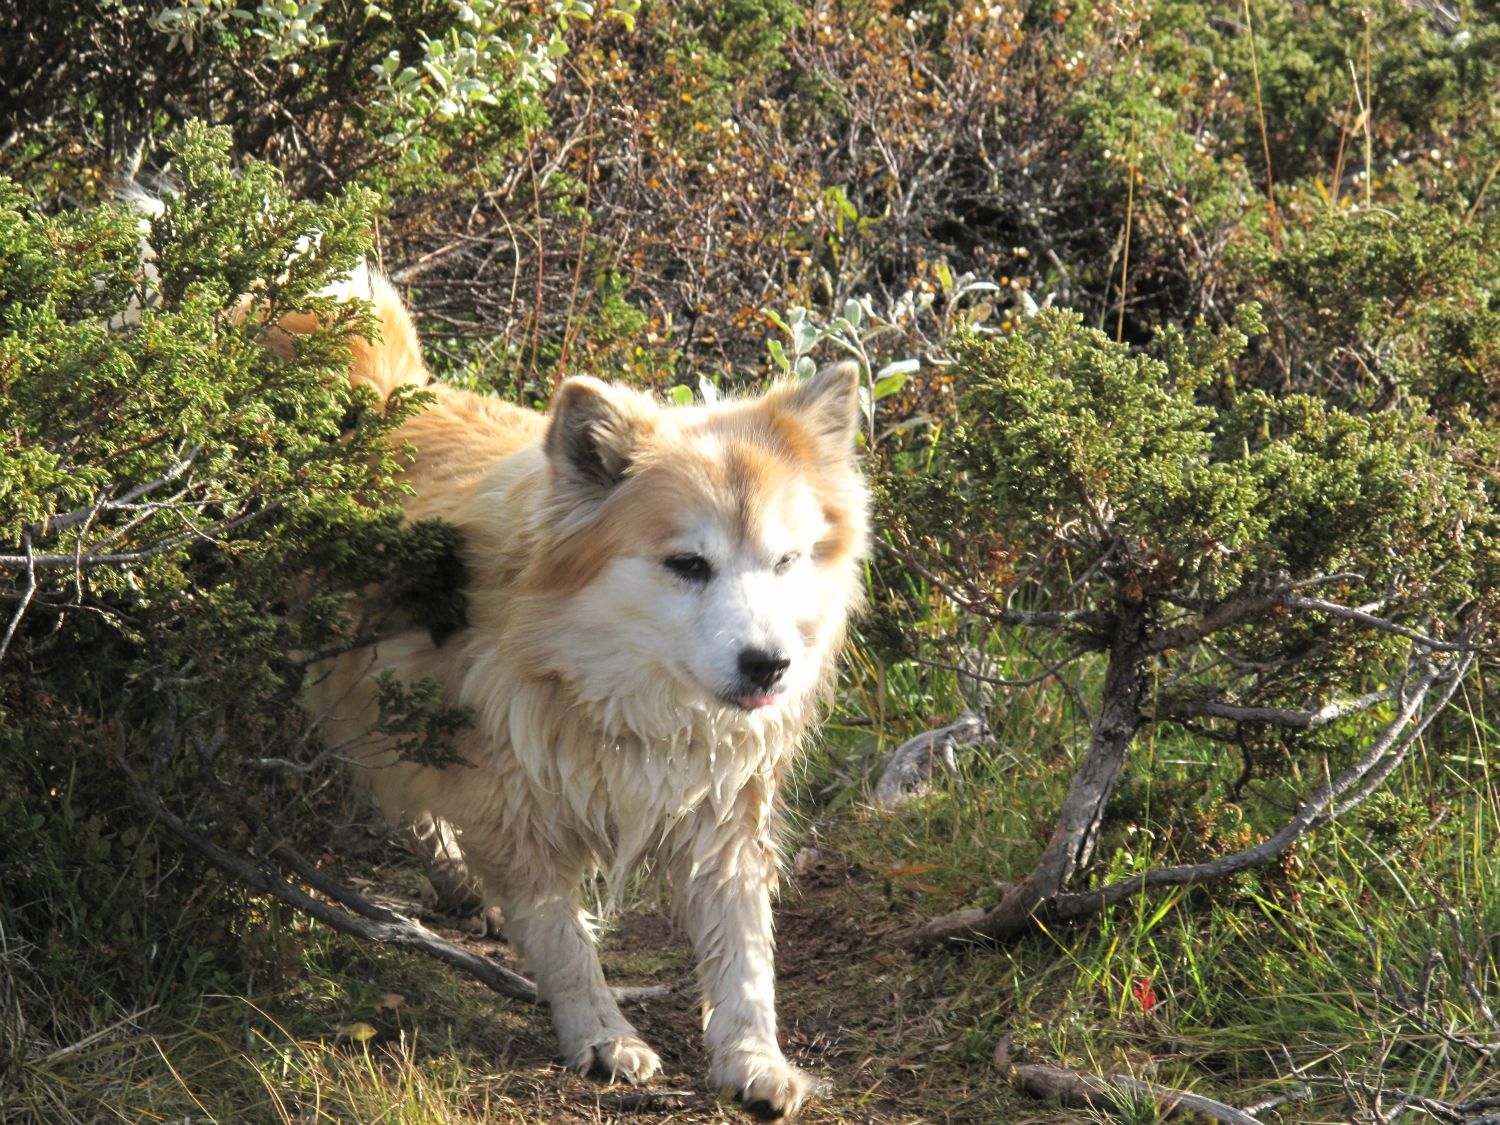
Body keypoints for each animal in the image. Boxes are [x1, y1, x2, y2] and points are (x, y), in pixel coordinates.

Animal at [291, 271, 870, 1122]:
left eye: (787, 560)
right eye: (688, 563)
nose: (769, 666)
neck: (622, 699)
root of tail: (389, 394)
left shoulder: (726, 815)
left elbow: (744, 955)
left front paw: (754, 1058)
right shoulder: (514, 804)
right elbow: (564, 938)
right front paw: (601, 1035)